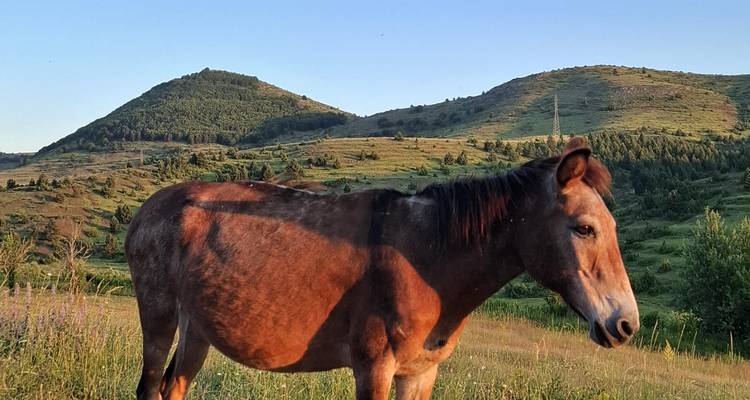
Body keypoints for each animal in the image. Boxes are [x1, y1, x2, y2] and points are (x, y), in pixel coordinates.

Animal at [125, 138, 639, 400]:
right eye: (585, 229)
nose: (625, 325)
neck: (425, 261)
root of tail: (150, 206)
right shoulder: (374, 368)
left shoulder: (419, 373)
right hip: (159, 316)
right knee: (151, 387)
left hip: (198, 328)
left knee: (173, 387)